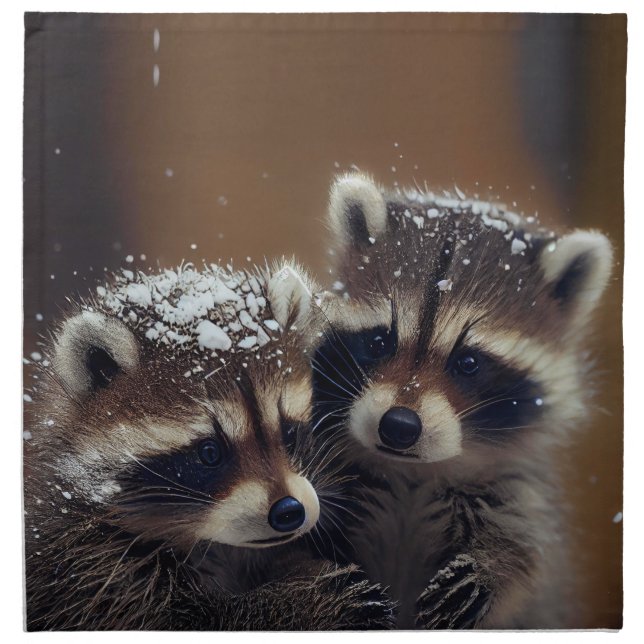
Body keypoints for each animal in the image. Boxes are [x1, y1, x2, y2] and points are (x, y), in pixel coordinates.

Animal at [23, 260, 395, 630]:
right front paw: (304, 600)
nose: (289, 512)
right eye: (210, 453)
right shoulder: (87, 562)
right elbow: (195, 619)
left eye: (289, 434)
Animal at [312, 173, 613, 628]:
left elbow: (526, 550)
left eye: (468, 363)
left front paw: (492, 566)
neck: (413, 474)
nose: (398, 426)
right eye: (380, 342)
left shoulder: (516, 488)